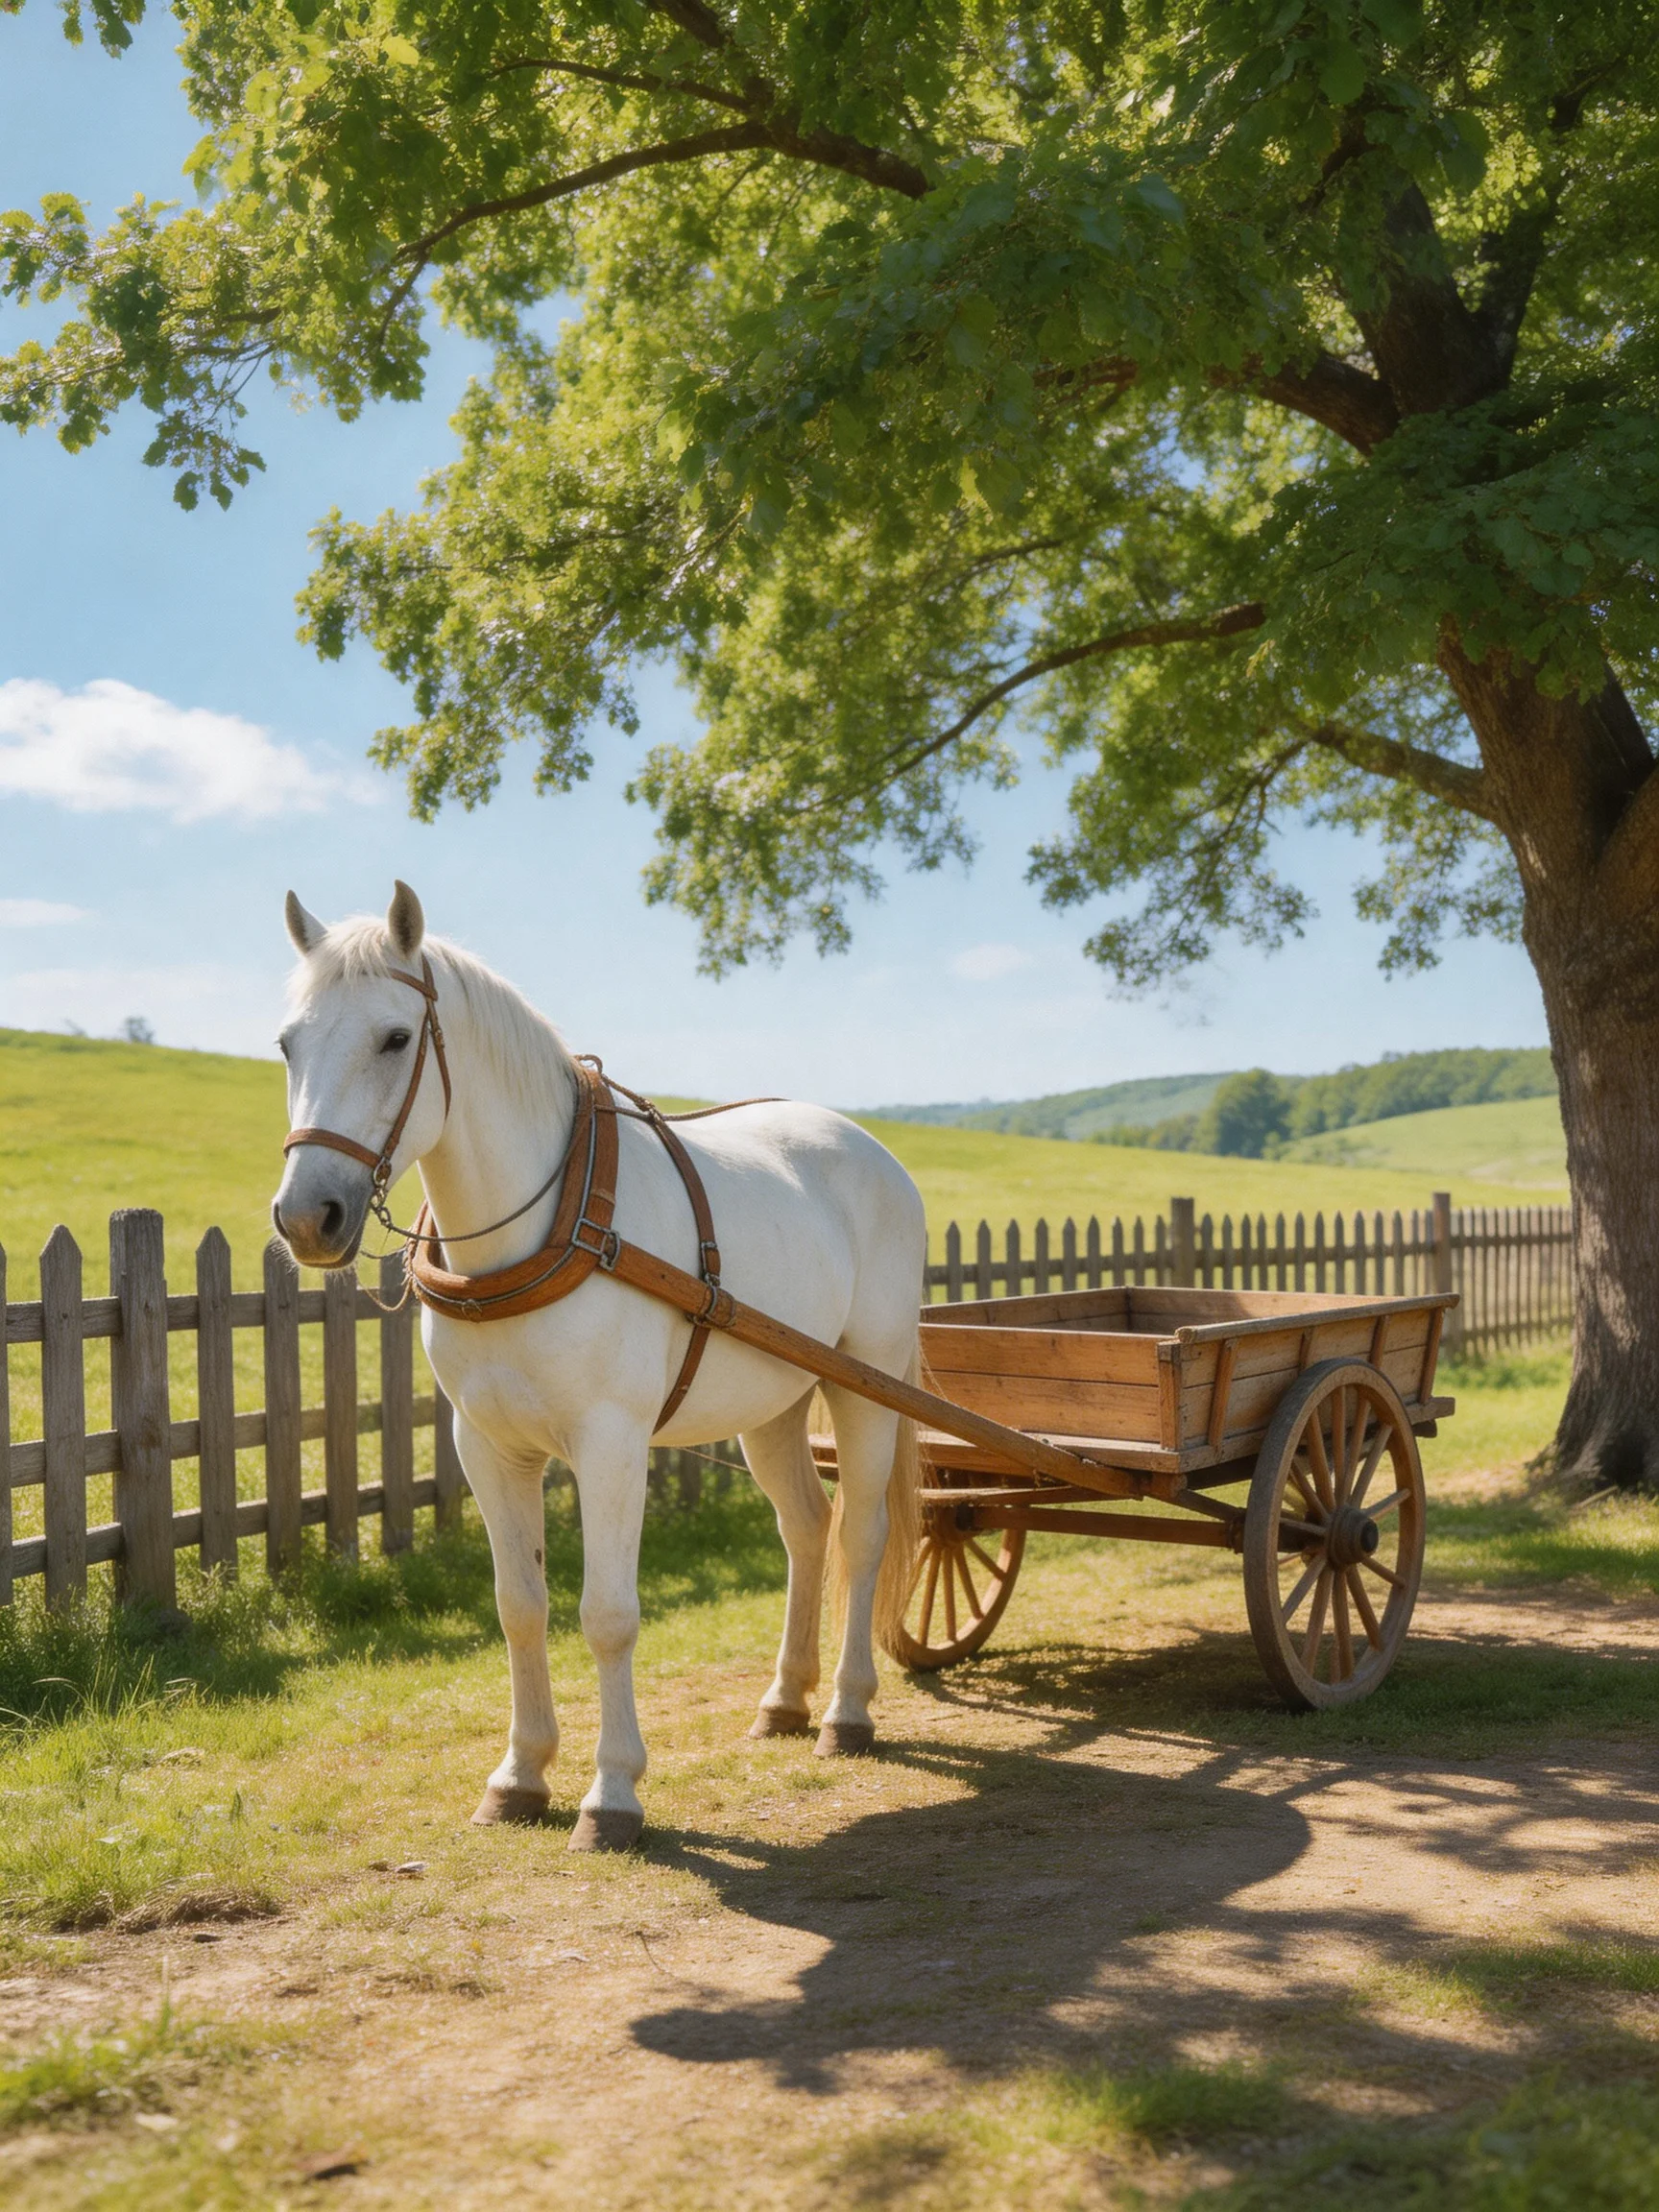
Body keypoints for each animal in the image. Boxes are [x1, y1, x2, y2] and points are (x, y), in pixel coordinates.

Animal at [270, 882, 925, 1850]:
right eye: (288, 1042)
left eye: (393, 1038)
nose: (306, 1217)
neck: (544, 1229)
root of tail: (873, 1152)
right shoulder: (486, 1447)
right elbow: (520, 1607)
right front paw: (519, 1777)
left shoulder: (611, 1445)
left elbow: (608, 1616)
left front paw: (611, 1793)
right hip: (772, 1400)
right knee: (805, 1528)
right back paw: (785, 1699)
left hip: (862, 1383)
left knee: (861, 1534)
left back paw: (846, 1711)